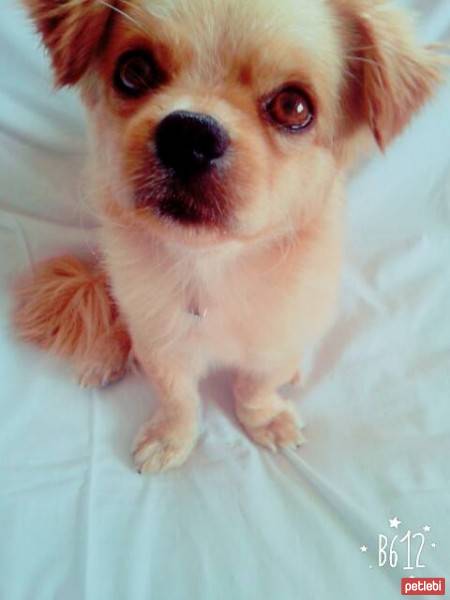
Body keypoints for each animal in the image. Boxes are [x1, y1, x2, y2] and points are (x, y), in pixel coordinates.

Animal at [14, 0, 442, 474]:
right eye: (135, 70)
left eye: (293, 107)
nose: (189, 133)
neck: (210, 267)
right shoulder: (161, 344)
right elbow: (178, 398)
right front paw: (172, 437)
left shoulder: (275, 340)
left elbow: (255, 389)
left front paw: (265, 420)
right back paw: (105, 356)